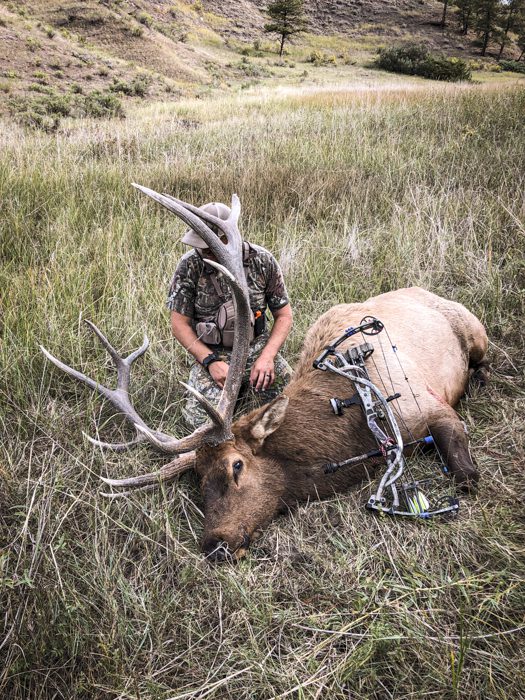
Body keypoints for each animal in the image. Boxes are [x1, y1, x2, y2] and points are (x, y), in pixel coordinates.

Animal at [41, 186, 489, 561]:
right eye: (197, 479)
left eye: (236, 466)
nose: (216, 544)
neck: (354, 410)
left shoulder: (428, 405)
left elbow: (466, 476)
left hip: (475, 330)